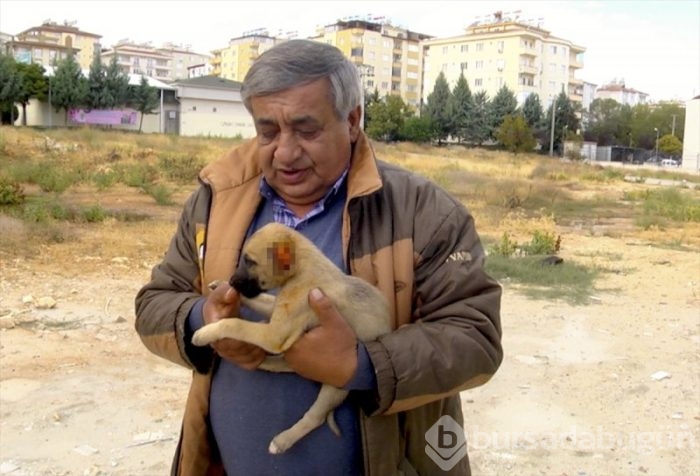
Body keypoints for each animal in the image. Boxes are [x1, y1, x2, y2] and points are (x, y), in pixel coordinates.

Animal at [191, 223, 394, 454]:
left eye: (250, 261)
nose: (233, 281)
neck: (303, 270)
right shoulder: (278, 311)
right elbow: (262, 299)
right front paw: (221, 286)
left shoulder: (275, 333)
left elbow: (233, 324)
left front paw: (205, 332)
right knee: (285, 364)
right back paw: (264, 362)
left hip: (337, 384)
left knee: (315, 417)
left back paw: (282, 441)